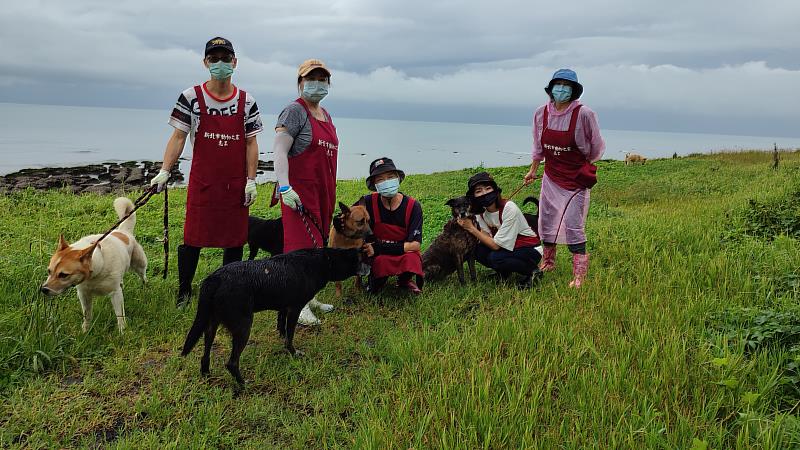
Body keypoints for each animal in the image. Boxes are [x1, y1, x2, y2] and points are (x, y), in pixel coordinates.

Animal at [40, 196, 148, 330]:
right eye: (49, 271)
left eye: (63, 275)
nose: (44, 289)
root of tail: (123, 232)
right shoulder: (83, 294)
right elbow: (87, 314)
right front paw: (85, 330)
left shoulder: (115, 293)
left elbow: (120, 315)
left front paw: (122, 330)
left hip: (139, 263)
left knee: (143, 275)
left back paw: (145, 287)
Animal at [180, 246, 368, 386]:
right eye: (359, 259)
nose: (369, 268)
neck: (323, 261)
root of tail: (214, 278)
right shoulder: (295, 308)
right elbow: (290, 335)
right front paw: (292, 352)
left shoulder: (284, 307)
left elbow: (282, 326)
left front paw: (282, 338)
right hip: (243, 326)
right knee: (231, 363)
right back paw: (243, 384)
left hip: (211, 324)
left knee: (205, 353)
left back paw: (206, 374)